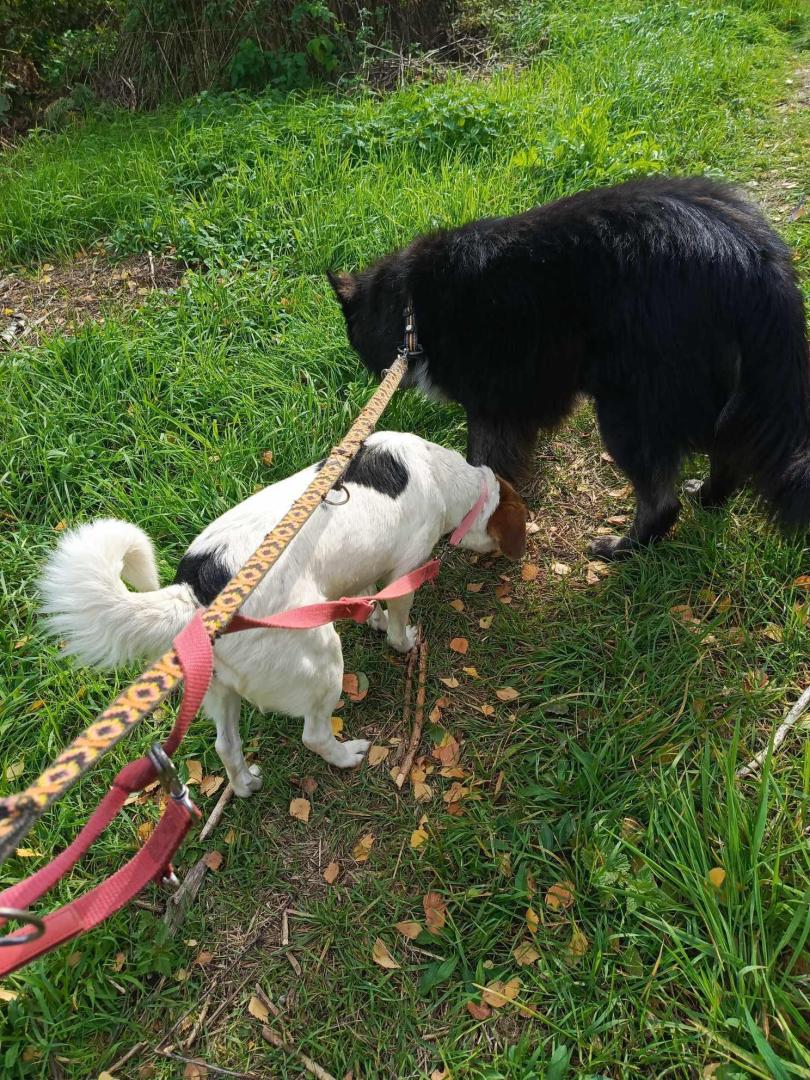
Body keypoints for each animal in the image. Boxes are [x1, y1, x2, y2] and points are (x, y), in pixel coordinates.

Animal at [40, 432, 526, 797]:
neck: (436, 471)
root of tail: (198, 593)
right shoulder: (407, 570)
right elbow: (397, 622)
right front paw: (403, 639)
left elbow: (369, 596)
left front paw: (372, 615)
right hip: (322, 659)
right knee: (315, 734)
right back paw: (346, 755)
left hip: (219, 689)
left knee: (225, 745)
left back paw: (244, 784)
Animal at [328, 176, 810, 559]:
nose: (372, 377)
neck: (412, 305)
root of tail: (750, 256)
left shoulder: (493, 406)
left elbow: (483, 462)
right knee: (729, 455)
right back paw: (708, 500)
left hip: (629, 410)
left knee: (661, 501)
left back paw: (623, 549)